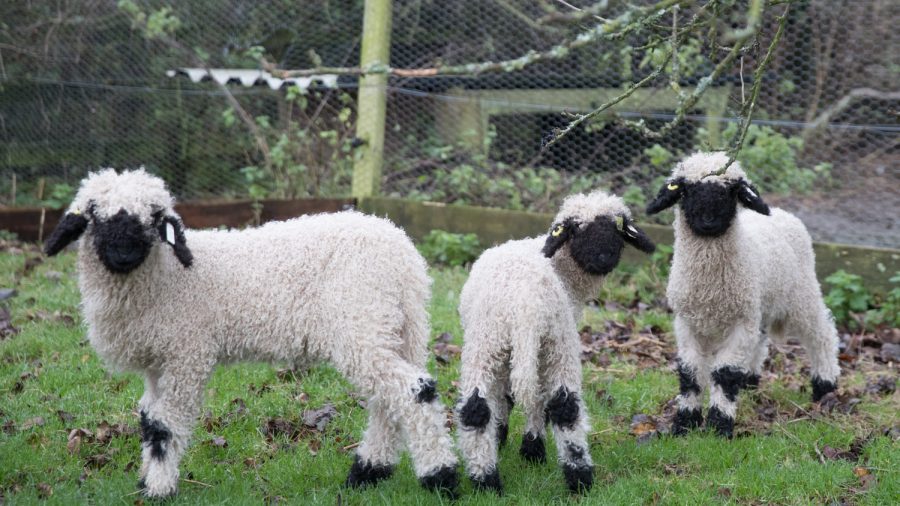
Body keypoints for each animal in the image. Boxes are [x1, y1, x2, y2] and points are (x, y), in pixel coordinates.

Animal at [42, 169, 458, 498]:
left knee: (413, 391)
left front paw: (159, 489)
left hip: (362, 322)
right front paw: (146, 482)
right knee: (388, 401)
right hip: (394, 327)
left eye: (155, 218)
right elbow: (147, 419)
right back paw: (368, 473)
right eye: (95, 215)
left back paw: (441, 478)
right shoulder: (158, 363)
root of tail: (403, 252)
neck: (165, 278)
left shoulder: (186, 353)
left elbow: (164, 424)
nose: (124, 254)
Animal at [458, 188, 652, 492]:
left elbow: (510, 397)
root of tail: (526, 305)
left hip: (493, 342)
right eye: (576, 229)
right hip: (553, 344)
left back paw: (492, 481)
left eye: (617, 228)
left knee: (479, 407)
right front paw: (523, 445)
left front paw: (511, 441)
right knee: (562, 406)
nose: (603, 257)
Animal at [644, 152, 840, 436]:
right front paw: (684, 422)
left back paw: (826, 386)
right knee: (760, 339)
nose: (708, 221)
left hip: (801, 294)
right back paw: (749, 381)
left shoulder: (739, 322)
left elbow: (725, 373)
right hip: (760, 304)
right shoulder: (688, 322)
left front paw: (719, 426)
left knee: (822, 334)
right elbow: (690, 372)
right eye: (686, 190)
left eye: (731, 191)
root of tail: (784, 213)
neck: (710, 287)